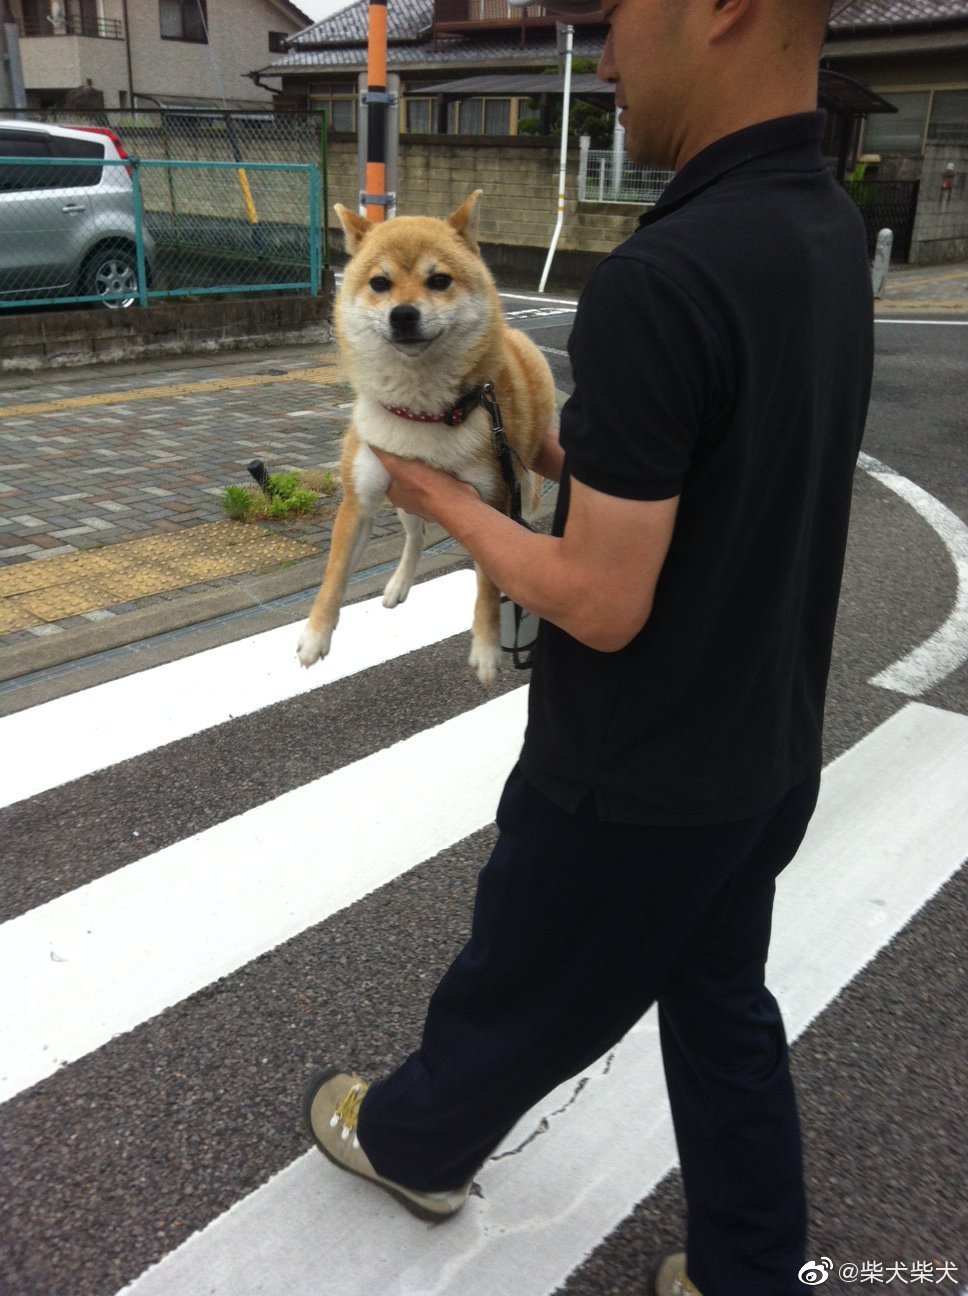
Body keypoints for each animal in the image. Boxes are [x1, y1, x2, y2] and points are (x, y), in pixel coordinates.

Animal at [295, 194, 557, 689]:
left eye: (439, 281)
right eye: (380, 284)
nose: (403, 314)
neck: (422, 411)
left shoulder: (490, 501)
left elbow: (487, 585)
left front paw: (487, 647)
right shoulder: (361, 498)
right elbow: (334, 573)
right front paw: (315, 635)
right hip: (401, 499)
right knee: (415, 537)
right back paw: (398, 584)